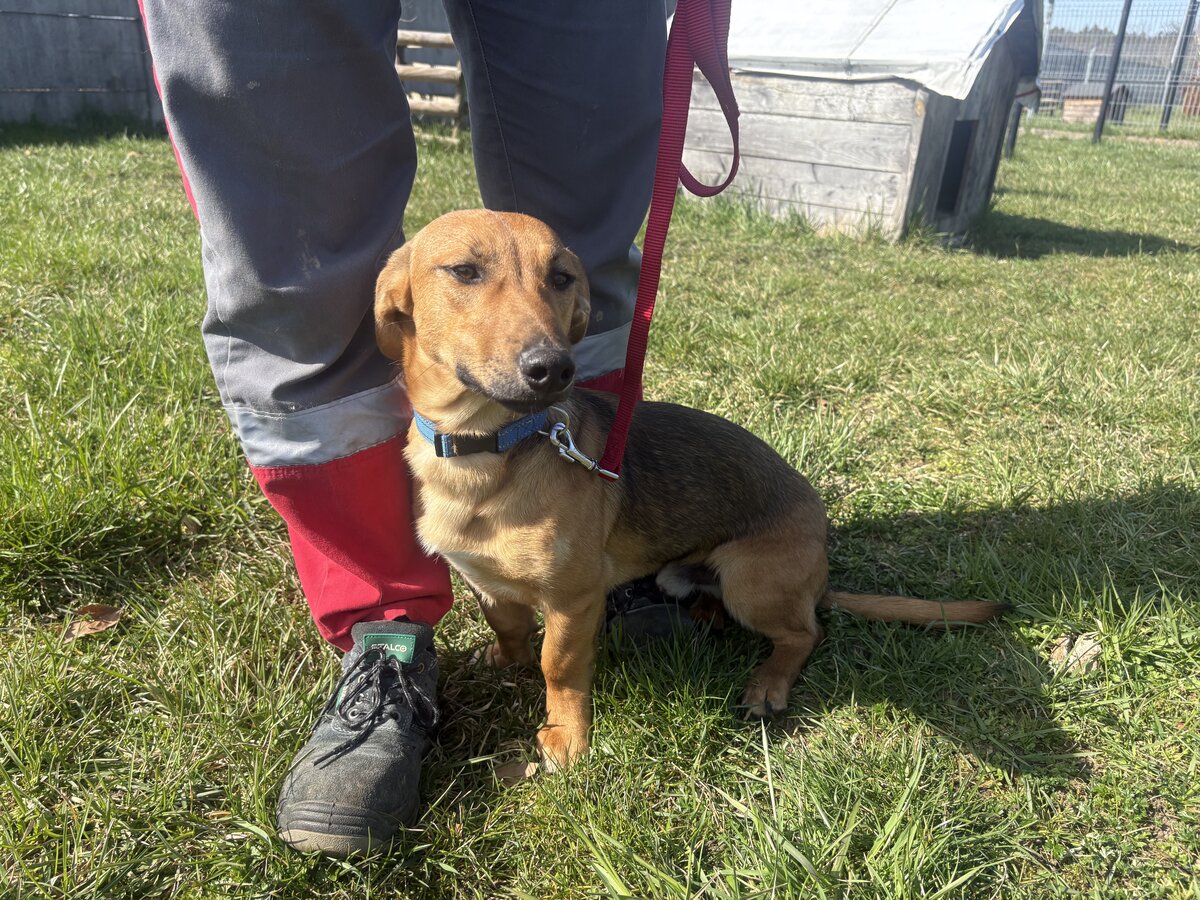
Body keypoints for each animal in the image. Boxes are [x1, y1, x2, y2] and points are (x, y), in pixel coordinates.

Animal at [374, 209, 1004, 770]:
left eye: (561, 278)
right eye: (464, 271)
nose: (553, 368)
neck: (488, 448)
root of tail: (821, 573)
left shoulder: (573, 601)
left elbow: (560, 666)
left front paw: (567, 736)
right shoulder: (484, 580)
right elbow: (508, 627)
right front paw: (506, 660)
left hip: (752, 580)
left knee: (806, 632)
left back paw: (768, 682)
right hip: (688, 575)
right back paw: (705, 617)